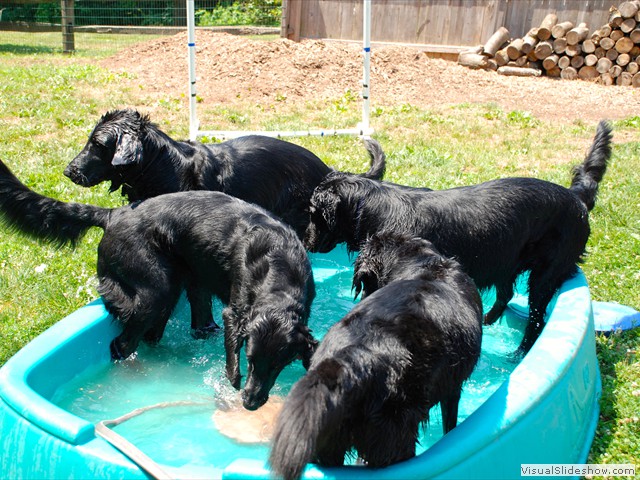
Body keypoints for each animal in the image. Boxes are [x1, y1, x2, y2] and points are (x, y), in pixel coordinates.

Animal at [0, 159, 318, 410]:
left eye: (278, 364)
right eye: (250, 359)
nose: (250, 402)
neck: (279, 265)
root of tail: (114, 213)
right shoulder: (235, 310)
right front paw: (233, 379)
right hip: (155, 290)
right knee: (122, 343)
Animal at [268, 232, 482, 480]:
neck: (424, 263)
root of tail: (354, 355)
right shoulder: (453, 388)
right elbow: (451, 423)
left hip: (329, 438)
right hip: (394, 433)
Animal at [304, 122, 616, 354]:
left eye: (312, 212)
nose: (305, 240)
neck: (374, 206)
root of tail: (576, 198)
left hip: (545, 274)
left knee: (536, 319)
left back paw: (519, 353)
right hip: (505, 260)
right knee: (505, 296)